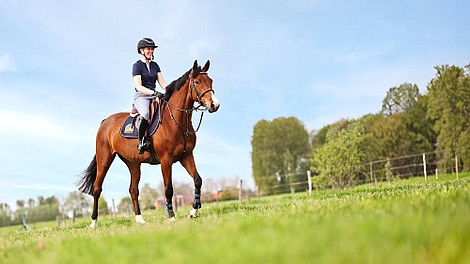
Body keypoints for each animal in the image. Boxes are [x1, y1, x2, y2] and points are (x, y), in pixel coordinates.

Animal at [77, 59, 220, 227]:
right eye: (197, 82)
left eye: (210, 81)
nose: (214, 105)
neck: (176, 121)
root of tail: (106, 122)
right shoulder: (166, 160)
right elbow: (168, 188)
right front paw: (171, 215)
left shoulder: (186, 156)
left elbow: (197, 180)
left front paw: (193, 212)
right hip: (104, 159)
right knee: (97, 188)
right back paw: (94, 222)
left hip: (133, 163)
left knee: (133, 190)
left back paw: (139, 219)